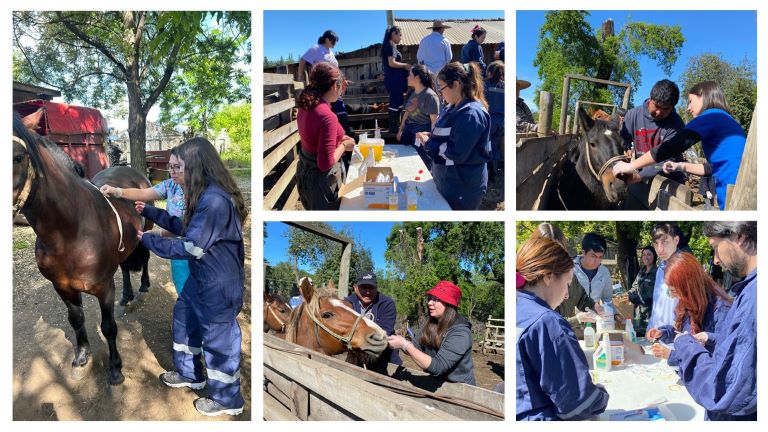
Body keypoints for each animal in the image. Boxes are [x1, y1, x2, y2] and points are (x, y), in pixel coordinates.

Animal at [12, 110, 154, 384]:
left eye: (18, 157)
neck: (69, 233)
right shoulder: (62, 288)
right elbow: (76, 320)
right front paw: (81, 359)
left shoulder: (104, 288)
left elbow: (108, 327)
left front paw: (115, 369)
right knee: (124, 267)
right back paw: (127, 296)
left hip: (148, 231)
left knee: (145, 259)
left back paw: (143, 287)